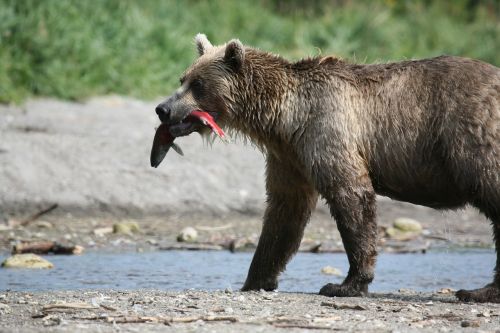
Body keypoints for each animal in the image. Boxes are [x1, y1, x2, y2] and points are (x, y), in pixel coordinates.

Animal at [153, 33, 500, 300]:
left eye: (198, 84)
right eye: (183, 78)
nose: (162, 108)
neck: (284, 119)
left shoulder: (327, 129)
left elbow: (351, 197)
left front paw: (345, 284)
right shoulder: (289, 156)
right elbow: (284, 213)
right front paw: (255, 279)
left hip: (470, 135)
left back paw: (479, 291)